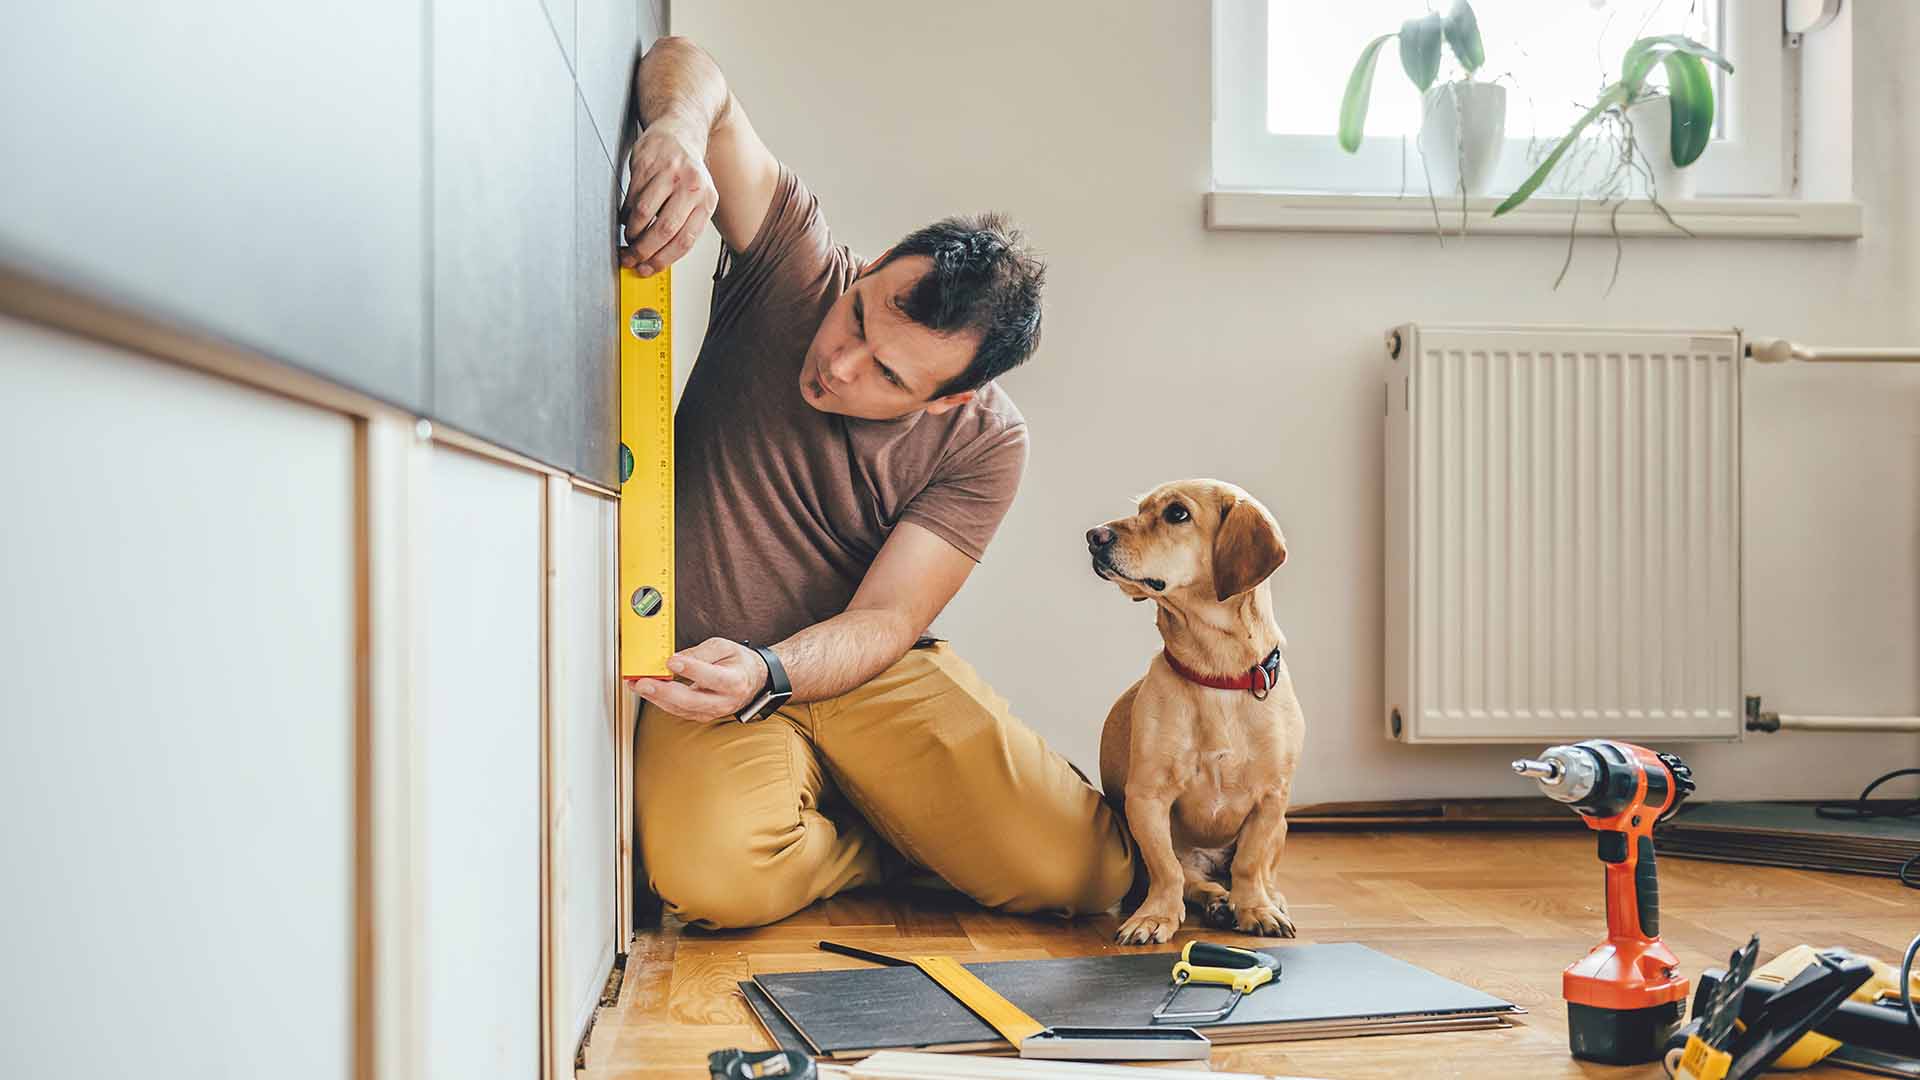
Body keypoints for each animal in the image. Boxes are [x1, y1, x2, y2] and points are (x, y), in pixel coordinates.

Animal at [1082, 478, 1305, 941]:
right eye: (1141, 509)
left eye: (1177, 514)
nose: (1093, 536)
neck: (1217, 674)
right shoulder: (1147, 797)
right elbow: (1167, 869)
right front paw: (1155, 917)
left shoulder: (1272, 799)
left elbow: (1250, 862)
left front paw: (1255, 908)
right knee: (1194, 880)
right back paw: (1217, 901)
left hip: (1281, 827)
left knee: (1259, 872)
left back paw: (1263, 899)